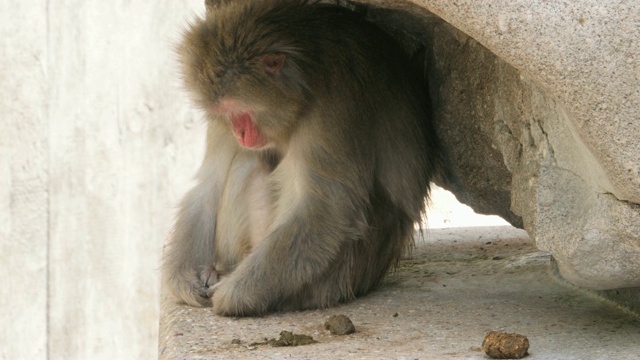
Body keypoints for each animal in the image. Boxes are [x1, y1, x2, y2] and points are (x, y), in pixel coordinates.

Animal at [160, 0, 442, 316]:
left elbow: (325, 209)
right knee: (249, 161)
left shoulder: (334, 106)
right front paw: (184, 278)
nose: (240, 133)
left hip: (338, 277)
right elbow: (209, 184)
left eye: (240, 111)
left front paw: (231, 295)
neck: (307, 80)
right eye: (224, 113)